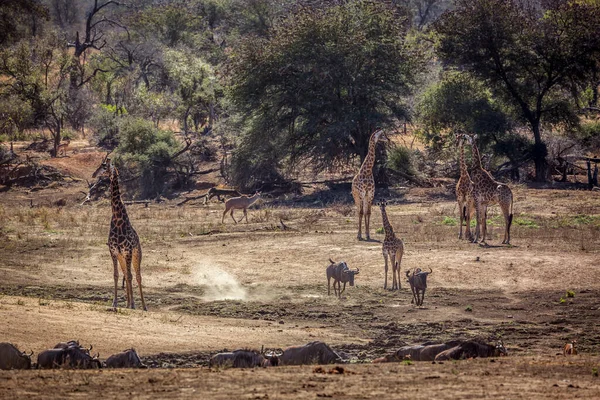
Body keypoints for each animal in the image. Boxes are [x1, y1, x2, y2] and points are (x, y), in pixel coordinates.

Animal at [92, 155, 148, 310]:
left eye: (104, 166)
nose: (93, 174)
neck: (118, 220)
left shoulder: (128, 251)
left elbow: (130, 276)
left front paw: (134, 304)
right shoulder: (114, 251)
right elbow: (116, 275)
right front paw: (115, 302)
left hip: (136, 255)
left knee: (137, 276)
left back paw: (143, 306)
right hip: (122, 257)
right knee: (125, 274)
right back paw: (128, 303)